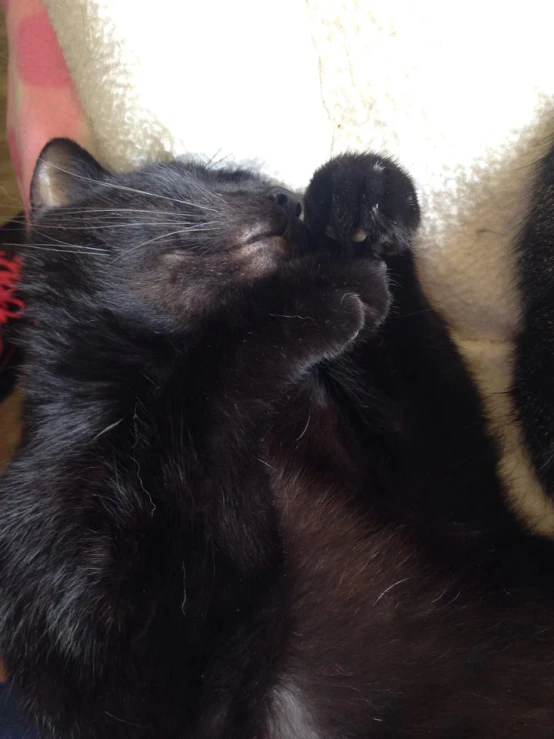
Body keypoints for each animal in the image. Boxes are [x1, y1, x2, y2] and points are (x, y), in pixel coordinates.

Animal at [1, 137, 552, 736]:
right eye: (204, 173)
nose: (286, 198)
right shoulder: (145, 691)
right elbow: (211, 377)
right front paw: (316, 288)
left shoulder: (459, 506)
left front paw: (362, 194)